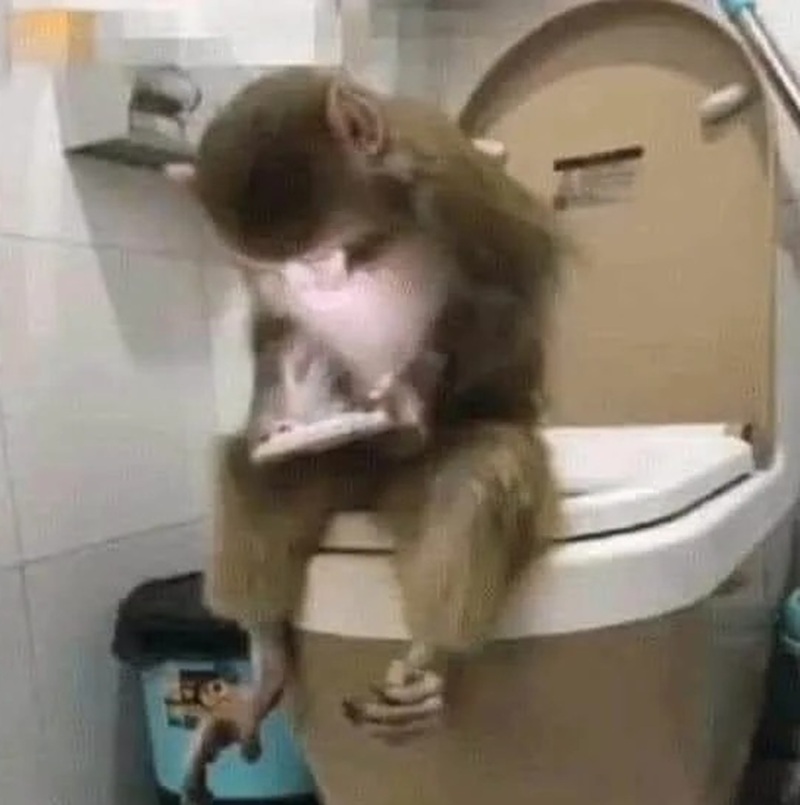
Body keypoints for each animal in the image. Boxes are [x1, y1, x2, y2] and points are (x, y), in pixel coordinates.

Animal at [166, 66, 562, 805]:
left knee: (478, 471)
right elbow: (282, 330)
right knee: (258, 470)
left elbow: (506, 295)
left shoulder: (457, 185)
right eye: (291, 258)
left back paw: (431, 661)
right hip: (343, 470)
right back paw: (267, 662)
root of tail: (372, 488)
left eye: (324, 246)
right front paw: (282, 421)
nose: (314, 275)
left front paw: (409, 394)